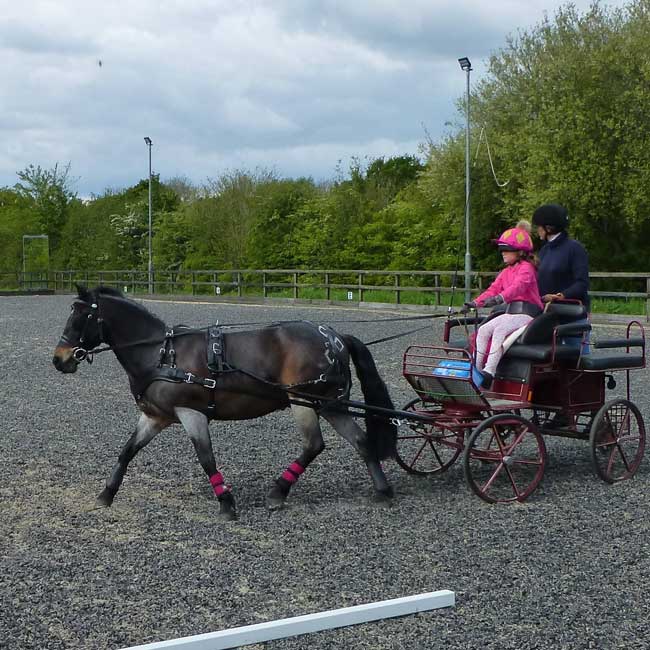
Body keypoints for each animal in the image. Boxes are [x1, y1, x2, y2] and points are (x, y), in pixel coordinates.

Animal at [52, 286, 394, 520]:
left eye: (81, 317)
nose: (59, 359)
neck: (161, 354)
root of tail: (335, 337)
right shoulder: (155, 417)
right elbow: (127, 451)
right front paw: (106, 494)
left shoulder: (191, 412)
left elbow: (206, 459)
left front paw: (226, 503)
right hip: (330, 404)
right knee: (361, 441)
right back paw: (382, 490)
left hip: (303, 401)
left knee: (314, 445)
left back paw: (278, 491)